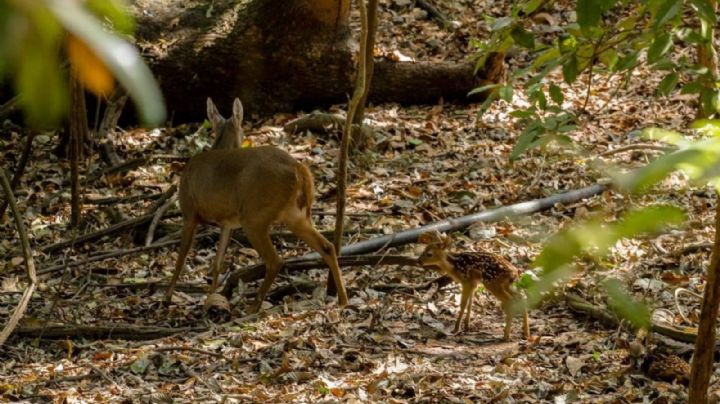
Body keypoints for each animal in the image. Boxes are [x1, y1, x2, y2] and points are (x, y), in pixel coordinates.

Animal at [167, 98, 352, 312]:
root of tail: (299, 168)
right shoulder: (228, 222)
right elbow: (217, 262)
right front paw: (210, 299)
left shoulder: (189, 211)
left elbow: (181, 259)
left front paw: (167, 297)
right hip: (295, 216)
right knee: (327, 246)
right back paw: (343, 299)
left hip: (255, 217)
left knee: (275, 260)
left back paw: (253, 306)